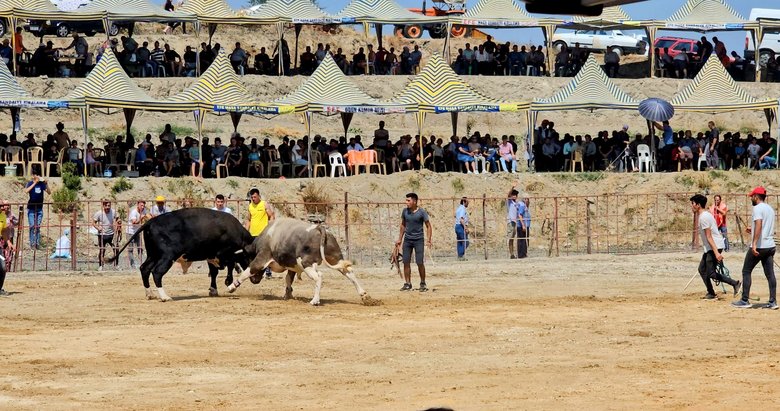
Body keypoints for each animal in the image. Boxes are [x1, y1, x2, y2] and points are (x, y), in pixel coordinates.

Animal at [108, 209, 254, 302]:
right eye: (251, 256)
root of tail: (151, 222)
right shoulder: (223, 254)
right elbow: (230, 265)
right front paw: (229, 282)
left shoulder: (211, 256)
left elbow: (214, 272)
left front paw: (213, 290)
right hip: (167, 257)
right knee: (157, 272)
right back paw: (164, 296)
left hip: (153, 255)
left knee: (144, 269)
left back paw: (150, 294)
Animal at [225, 219, 372, 306]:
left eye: (246, 257)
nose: (255, 281)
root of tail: (319, 228)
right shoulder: (292, 265)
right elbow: (288, 279)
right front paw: (288, 295)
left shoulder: (261, 259)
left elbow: (247, 272)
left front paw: (231, 287)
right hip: (335, 257)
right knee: (348, 271)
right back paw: (364, 295)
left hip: (307, 263)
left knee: (318, 276)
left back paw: (315, 300)